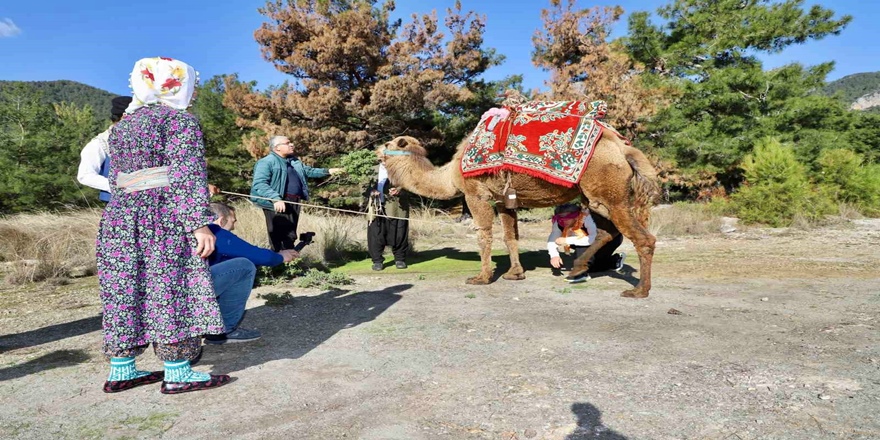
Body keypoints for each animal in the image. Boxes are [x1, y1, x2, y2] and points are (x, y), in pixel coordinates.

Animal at [378, 127, 660, 300]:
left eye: (387, 143)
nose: (377, 151)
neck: (449, 175)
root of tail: (624, 151)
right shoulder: (504, 200)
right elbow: (510, 236)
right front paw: (515, 273)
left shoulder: (476, 194)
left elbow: (484, 235)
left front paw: (481, 277)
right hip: (593, 197)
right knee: (605, 231)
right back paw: (577, 268)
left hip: (609, 192)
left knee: (642, 238)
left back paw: (639, 291)